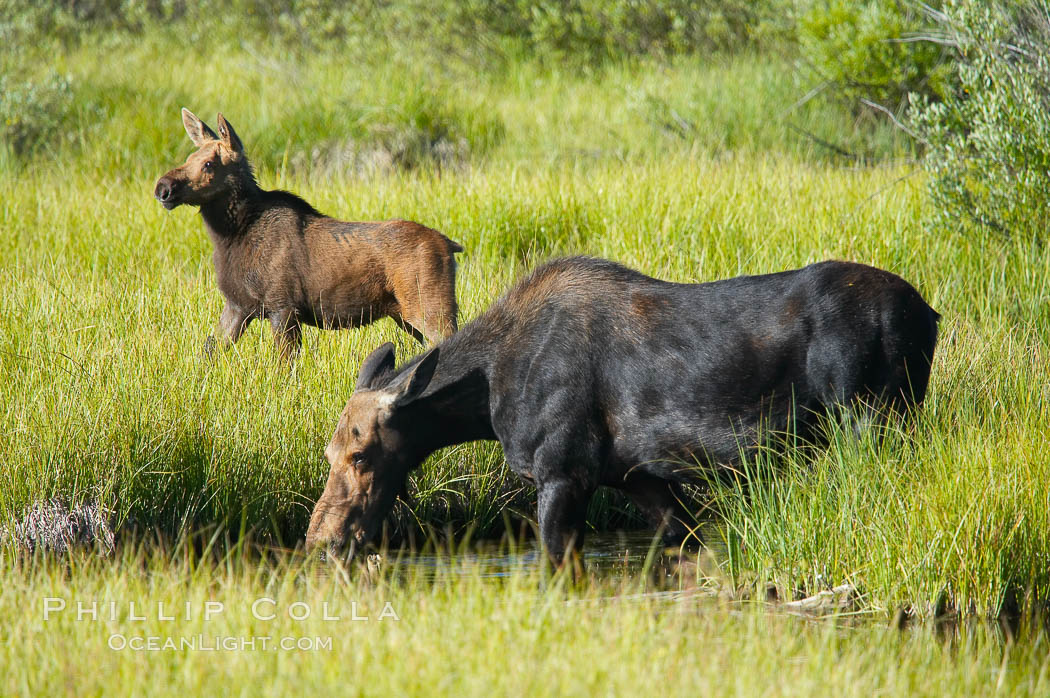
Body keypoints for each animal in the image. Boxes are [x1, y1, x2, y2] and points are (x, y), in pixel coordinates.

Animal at [154, 109, 459, 358]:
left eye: (209, 164)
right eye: (189, 158)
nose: (163, 188)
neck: (232, 236)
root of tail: (451, 246)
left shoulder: (283, 306)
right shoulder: (238, 305)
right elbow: (209, 351)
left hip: (430, 308)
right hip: (407, 315)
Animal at [306, 256, 940, 562]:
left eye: (361, 455)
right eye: (328, 452)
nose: (320, 538)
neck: (485, 401)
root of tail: (929, 316)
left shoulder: (564, 472)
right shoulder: (640, 479)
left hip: (869, 419)